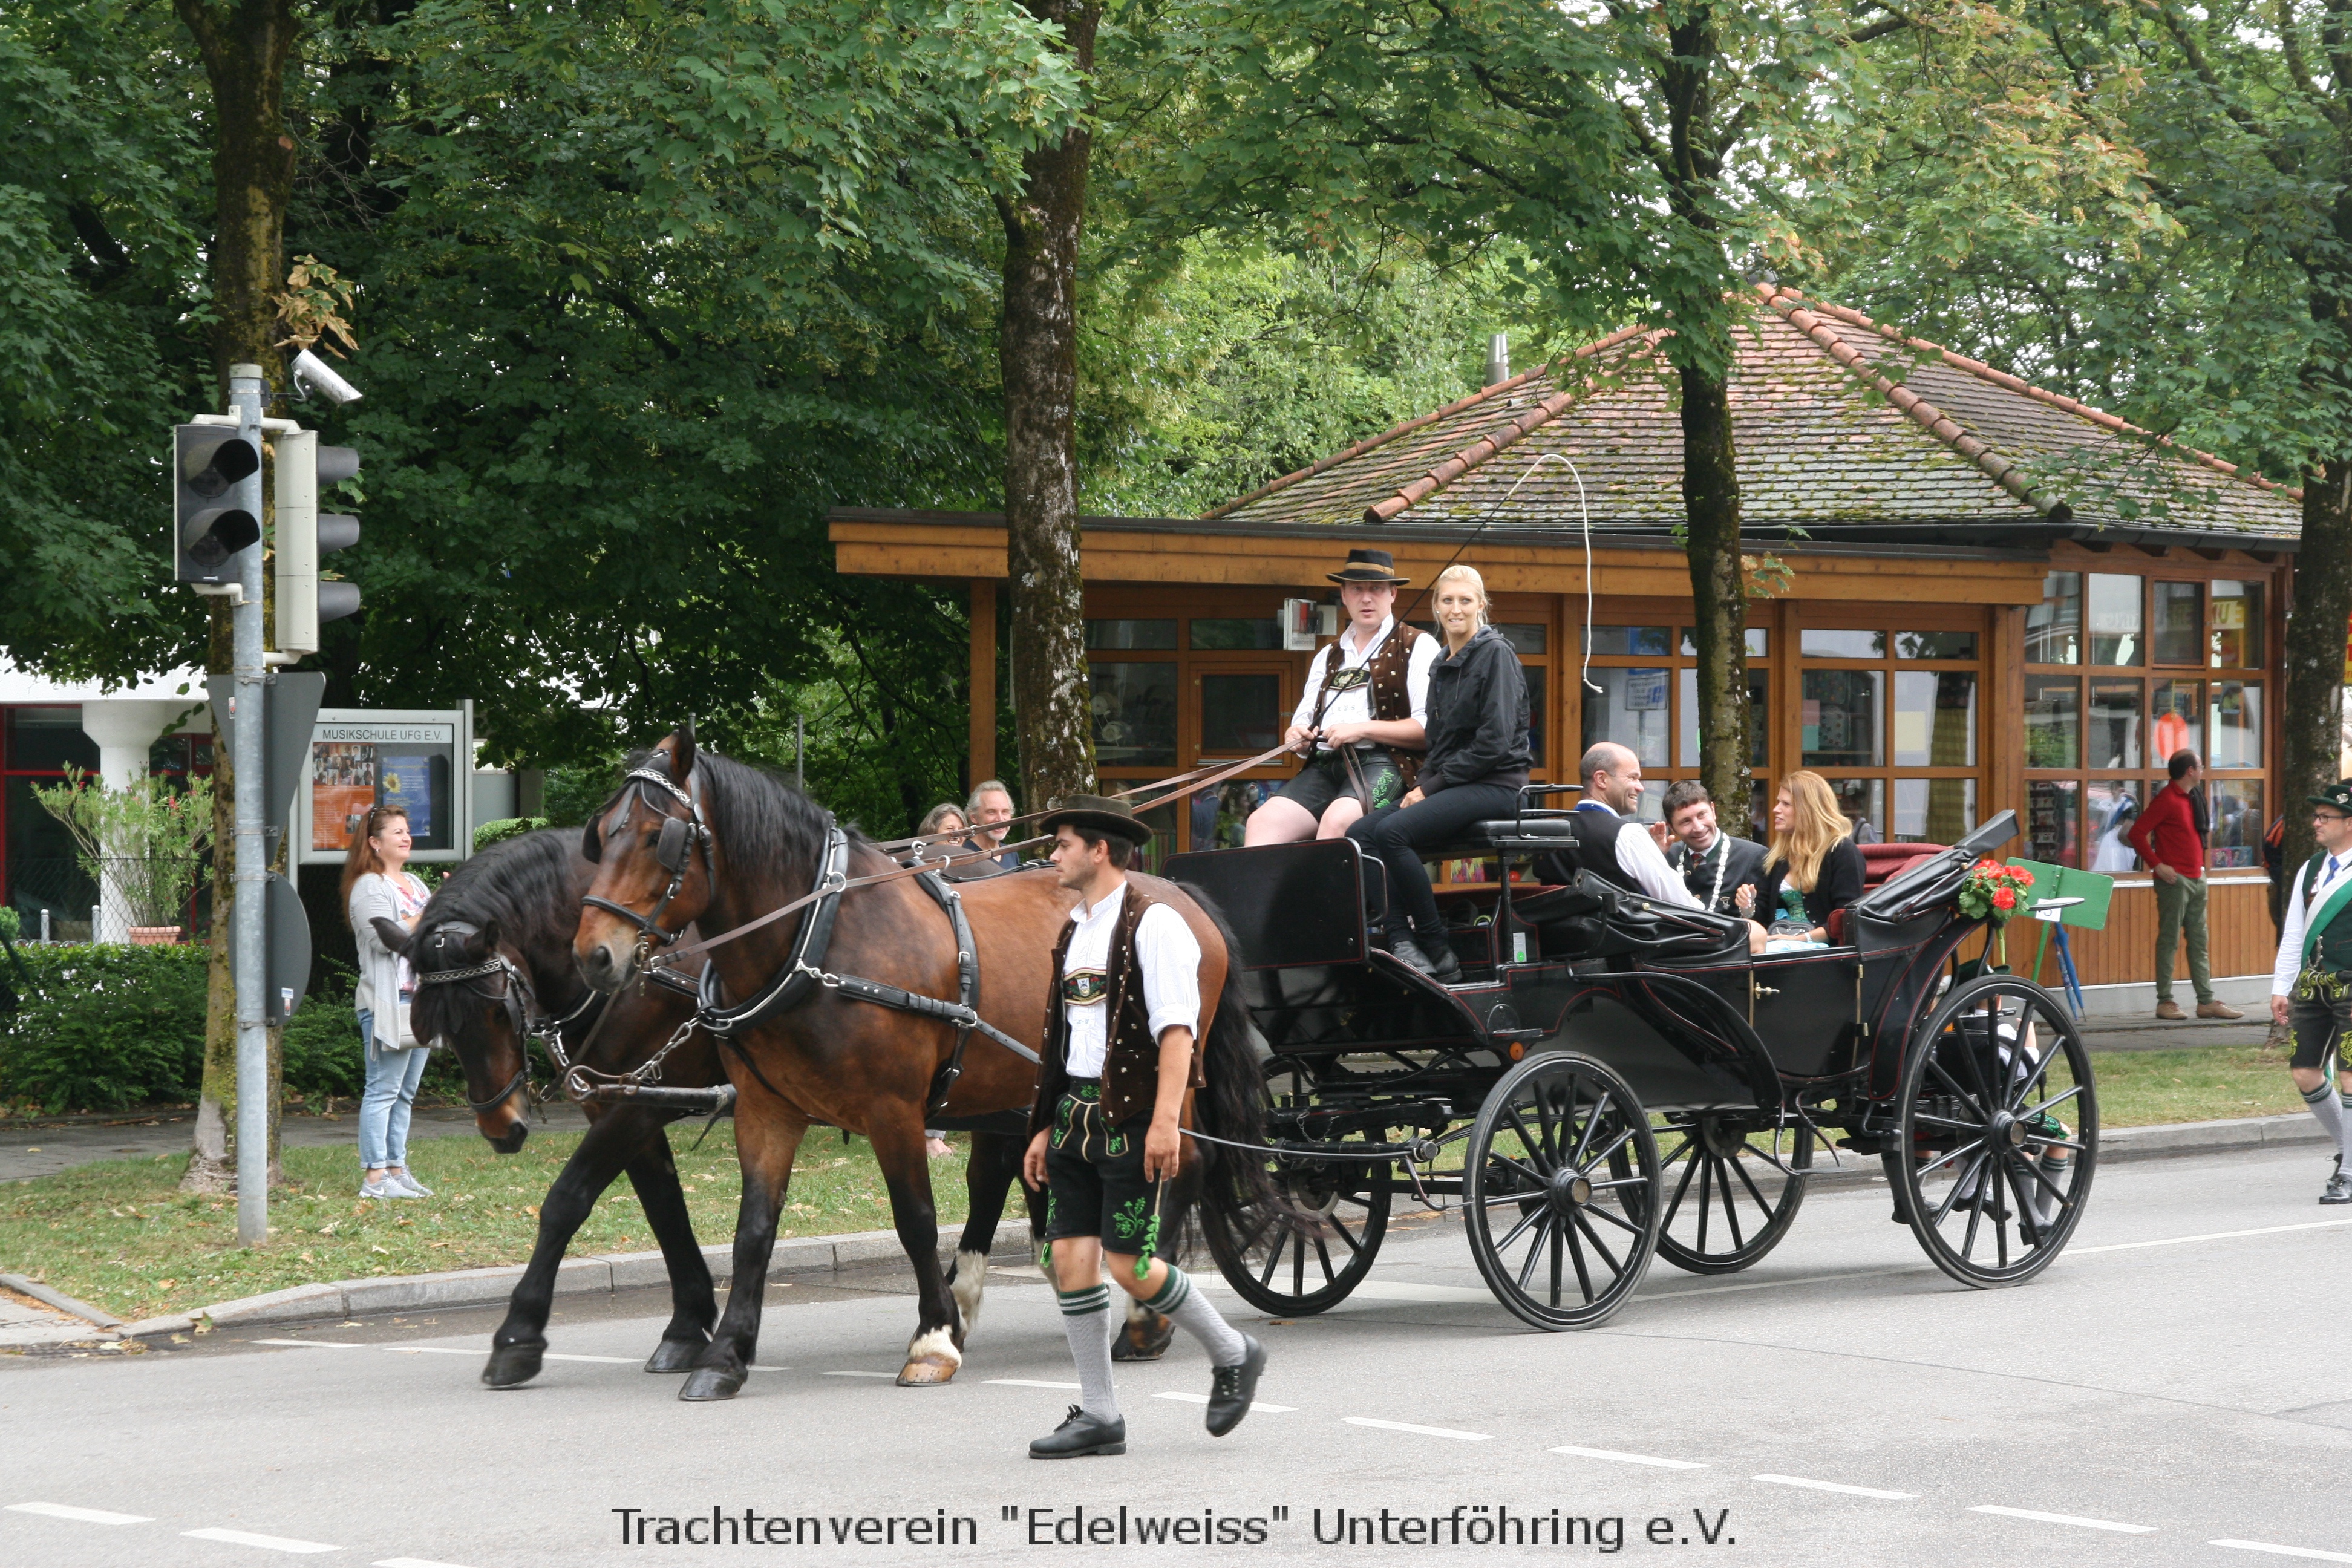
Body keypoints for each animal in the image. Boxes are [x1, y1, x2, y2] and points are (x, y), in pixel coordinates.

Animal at [571, 728, 1270, 1400]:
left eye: (659, 838)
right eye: (601, 836)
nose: (593, 957)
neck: (820, 937)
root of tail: (1180, 892)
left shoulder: (894, 1109)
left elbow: (915, 1220)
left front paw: (933, 1341)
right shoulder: (768, 1111)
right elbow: (754, 1233)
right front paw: (726, 1357)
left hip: (1162, 1074)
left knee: (1180, 1164)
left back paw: (1145, 1318)